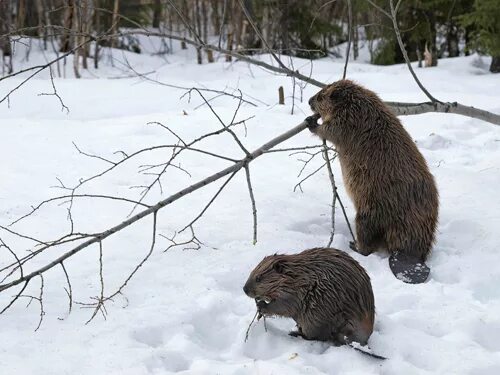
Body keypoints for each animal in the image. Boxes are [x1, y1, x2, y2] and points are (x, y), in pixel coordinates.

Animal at [242, 248, 376, 348]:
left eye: (258, 278)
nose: (244, 289)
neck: (297, 275)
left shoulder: (294, 292)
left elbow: (284, 306)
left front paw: (261, 306)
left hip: (320, 314)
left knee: (318, 336)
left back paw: (295, 333)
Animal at [306, 80, 440, 284]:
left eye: (321, 96)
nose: (309, 101)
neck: (358, 103)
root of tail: (408, 253)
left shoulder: (347, 120)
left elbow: (330, 131)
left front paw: (311, 122)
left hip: (367, 214)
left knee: (367, 244)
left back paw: (353, 245)